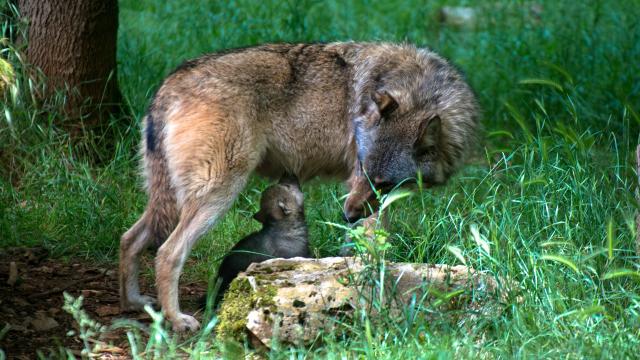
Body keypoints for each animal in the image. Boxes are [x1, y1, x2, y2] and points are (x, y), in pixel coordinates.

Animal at [120, 42, 480, 332]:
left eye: (383, 182)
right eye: (362, 169)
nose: (346, 216)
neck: (419, 90)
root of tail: (171, 83)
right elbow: (370, 248)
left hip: (169, 201)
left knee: (129, 238)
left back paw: (134, 302)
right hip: (217, 196)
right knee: (167, 253)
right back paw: (177, 320)